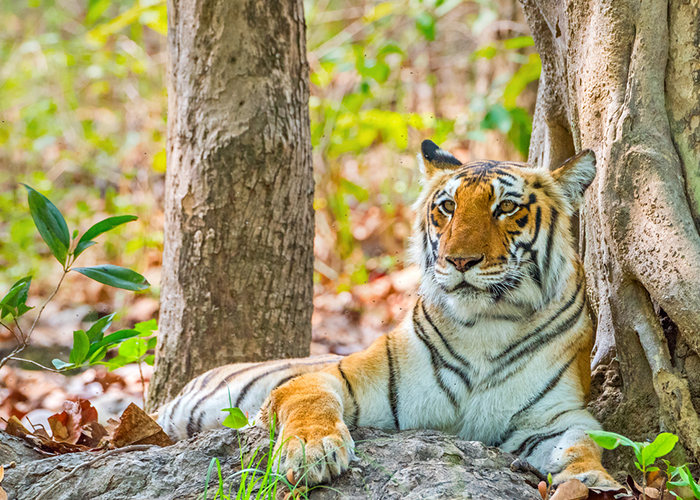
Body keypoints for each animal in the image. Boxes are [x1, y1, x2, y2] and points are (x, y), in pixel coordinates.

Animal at [156, 140, 617, 489]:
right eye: (447, 207)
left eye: (505, 208)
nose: (459, 261)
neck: (486, 327)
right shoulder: (343, 377)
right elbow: (309, 398)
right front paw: (310, 451)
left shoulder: (556, 415)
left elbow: (584, 442)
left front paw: (593, 480)